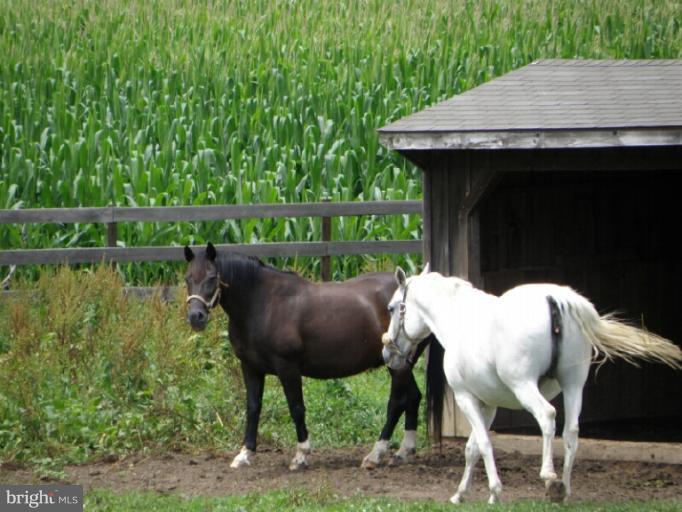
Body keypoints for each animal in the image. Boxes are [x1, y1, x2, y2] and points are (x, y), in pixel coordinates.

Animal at [183, 243, 430, 470]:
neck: (263, 302)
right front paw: (245, 454)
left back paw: (375, 454)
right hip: (401, 362)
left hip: (397, 365)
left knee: (397, 402)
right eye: (188, 278)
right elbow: (253, 407)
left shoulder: (287, 367)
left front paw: (301, 455)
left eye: (212, 277)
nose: (196, 316)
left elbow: (296, 408)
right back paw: (404, 451)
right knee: (413, 397)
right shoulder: (250, 367)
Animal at [381, 266, 681, 504]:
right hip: (573, 386)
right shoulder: (487, 404)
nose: (388, 353)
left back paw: (549, 475)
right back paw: (562, 489)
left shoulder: (466, 398)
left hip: (525, 386)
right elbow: (472, 448)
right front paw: (461, 494)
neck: (459, 321)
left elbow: (483, 443)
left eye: (392, 308)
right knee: (571, 432)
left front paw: (494, 492)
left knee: (547, 416)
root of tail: (555, 300)